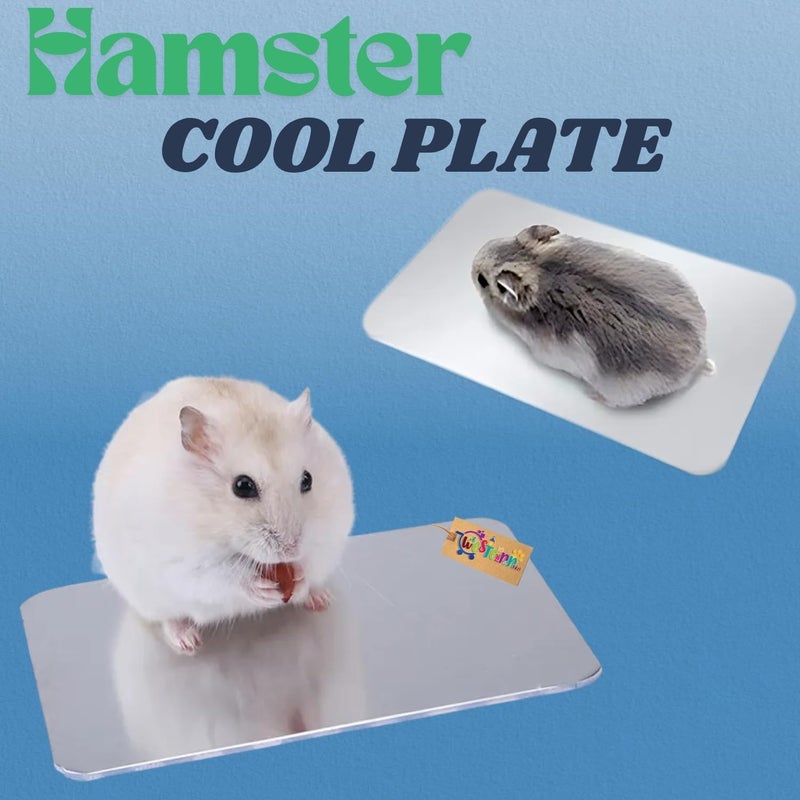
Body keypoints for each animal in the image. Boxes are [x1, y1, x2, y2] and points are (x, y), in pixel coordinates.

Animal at [93, 376, 355, 654]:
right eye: (242, 486)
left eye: (307, 480)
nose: (291, 549)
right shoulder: (183, 562)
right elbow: (221, 575)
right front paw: (261, 588)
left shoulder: (329, 535)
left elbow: (311, 560)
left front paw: (301, 577)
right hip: (150, 598)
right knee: (170, 617)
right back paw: (187, 642)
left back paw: (321, 599)